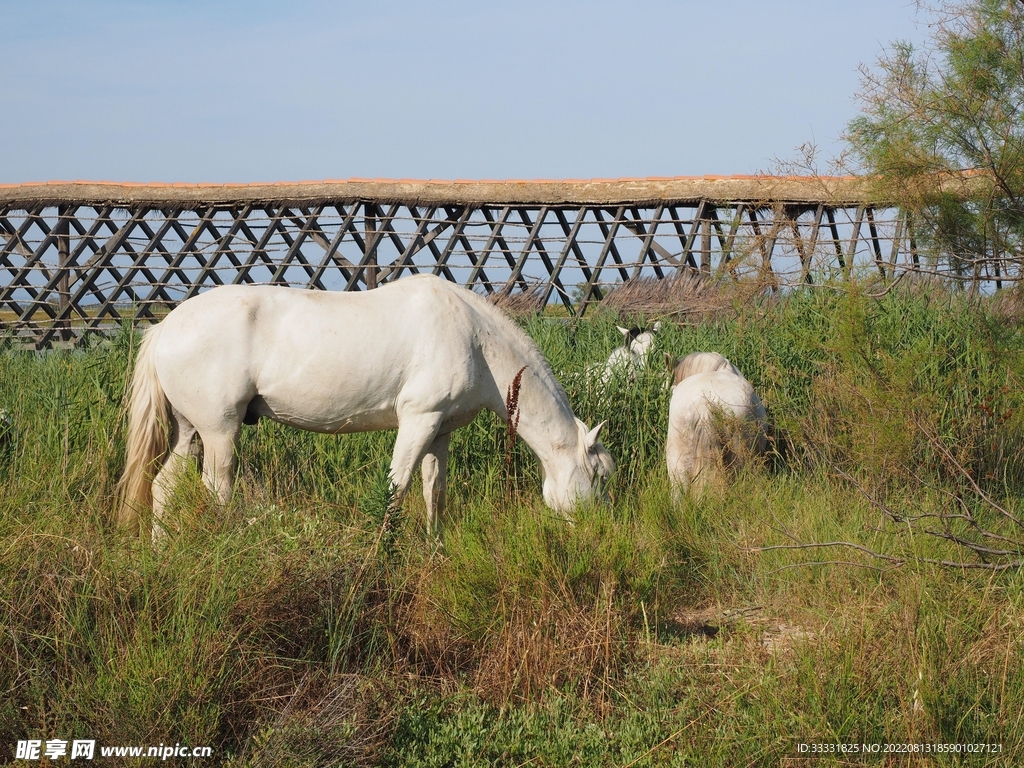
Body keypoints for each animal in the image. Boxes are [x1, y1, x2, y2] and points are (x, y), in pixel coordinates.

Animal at [117, 274, 616, 540]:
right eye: (601, 476)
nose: (598, 530)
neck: (474, 338)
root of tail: (165, 327)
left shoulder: (441, 431)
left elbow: (434, 489)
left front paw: (434, 545)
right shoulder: (418, 420)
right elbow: (397, 488)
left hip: (190, 431)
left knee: (163, 487)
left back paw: (161, 549)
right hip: (220, 432)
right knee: (216, 488)